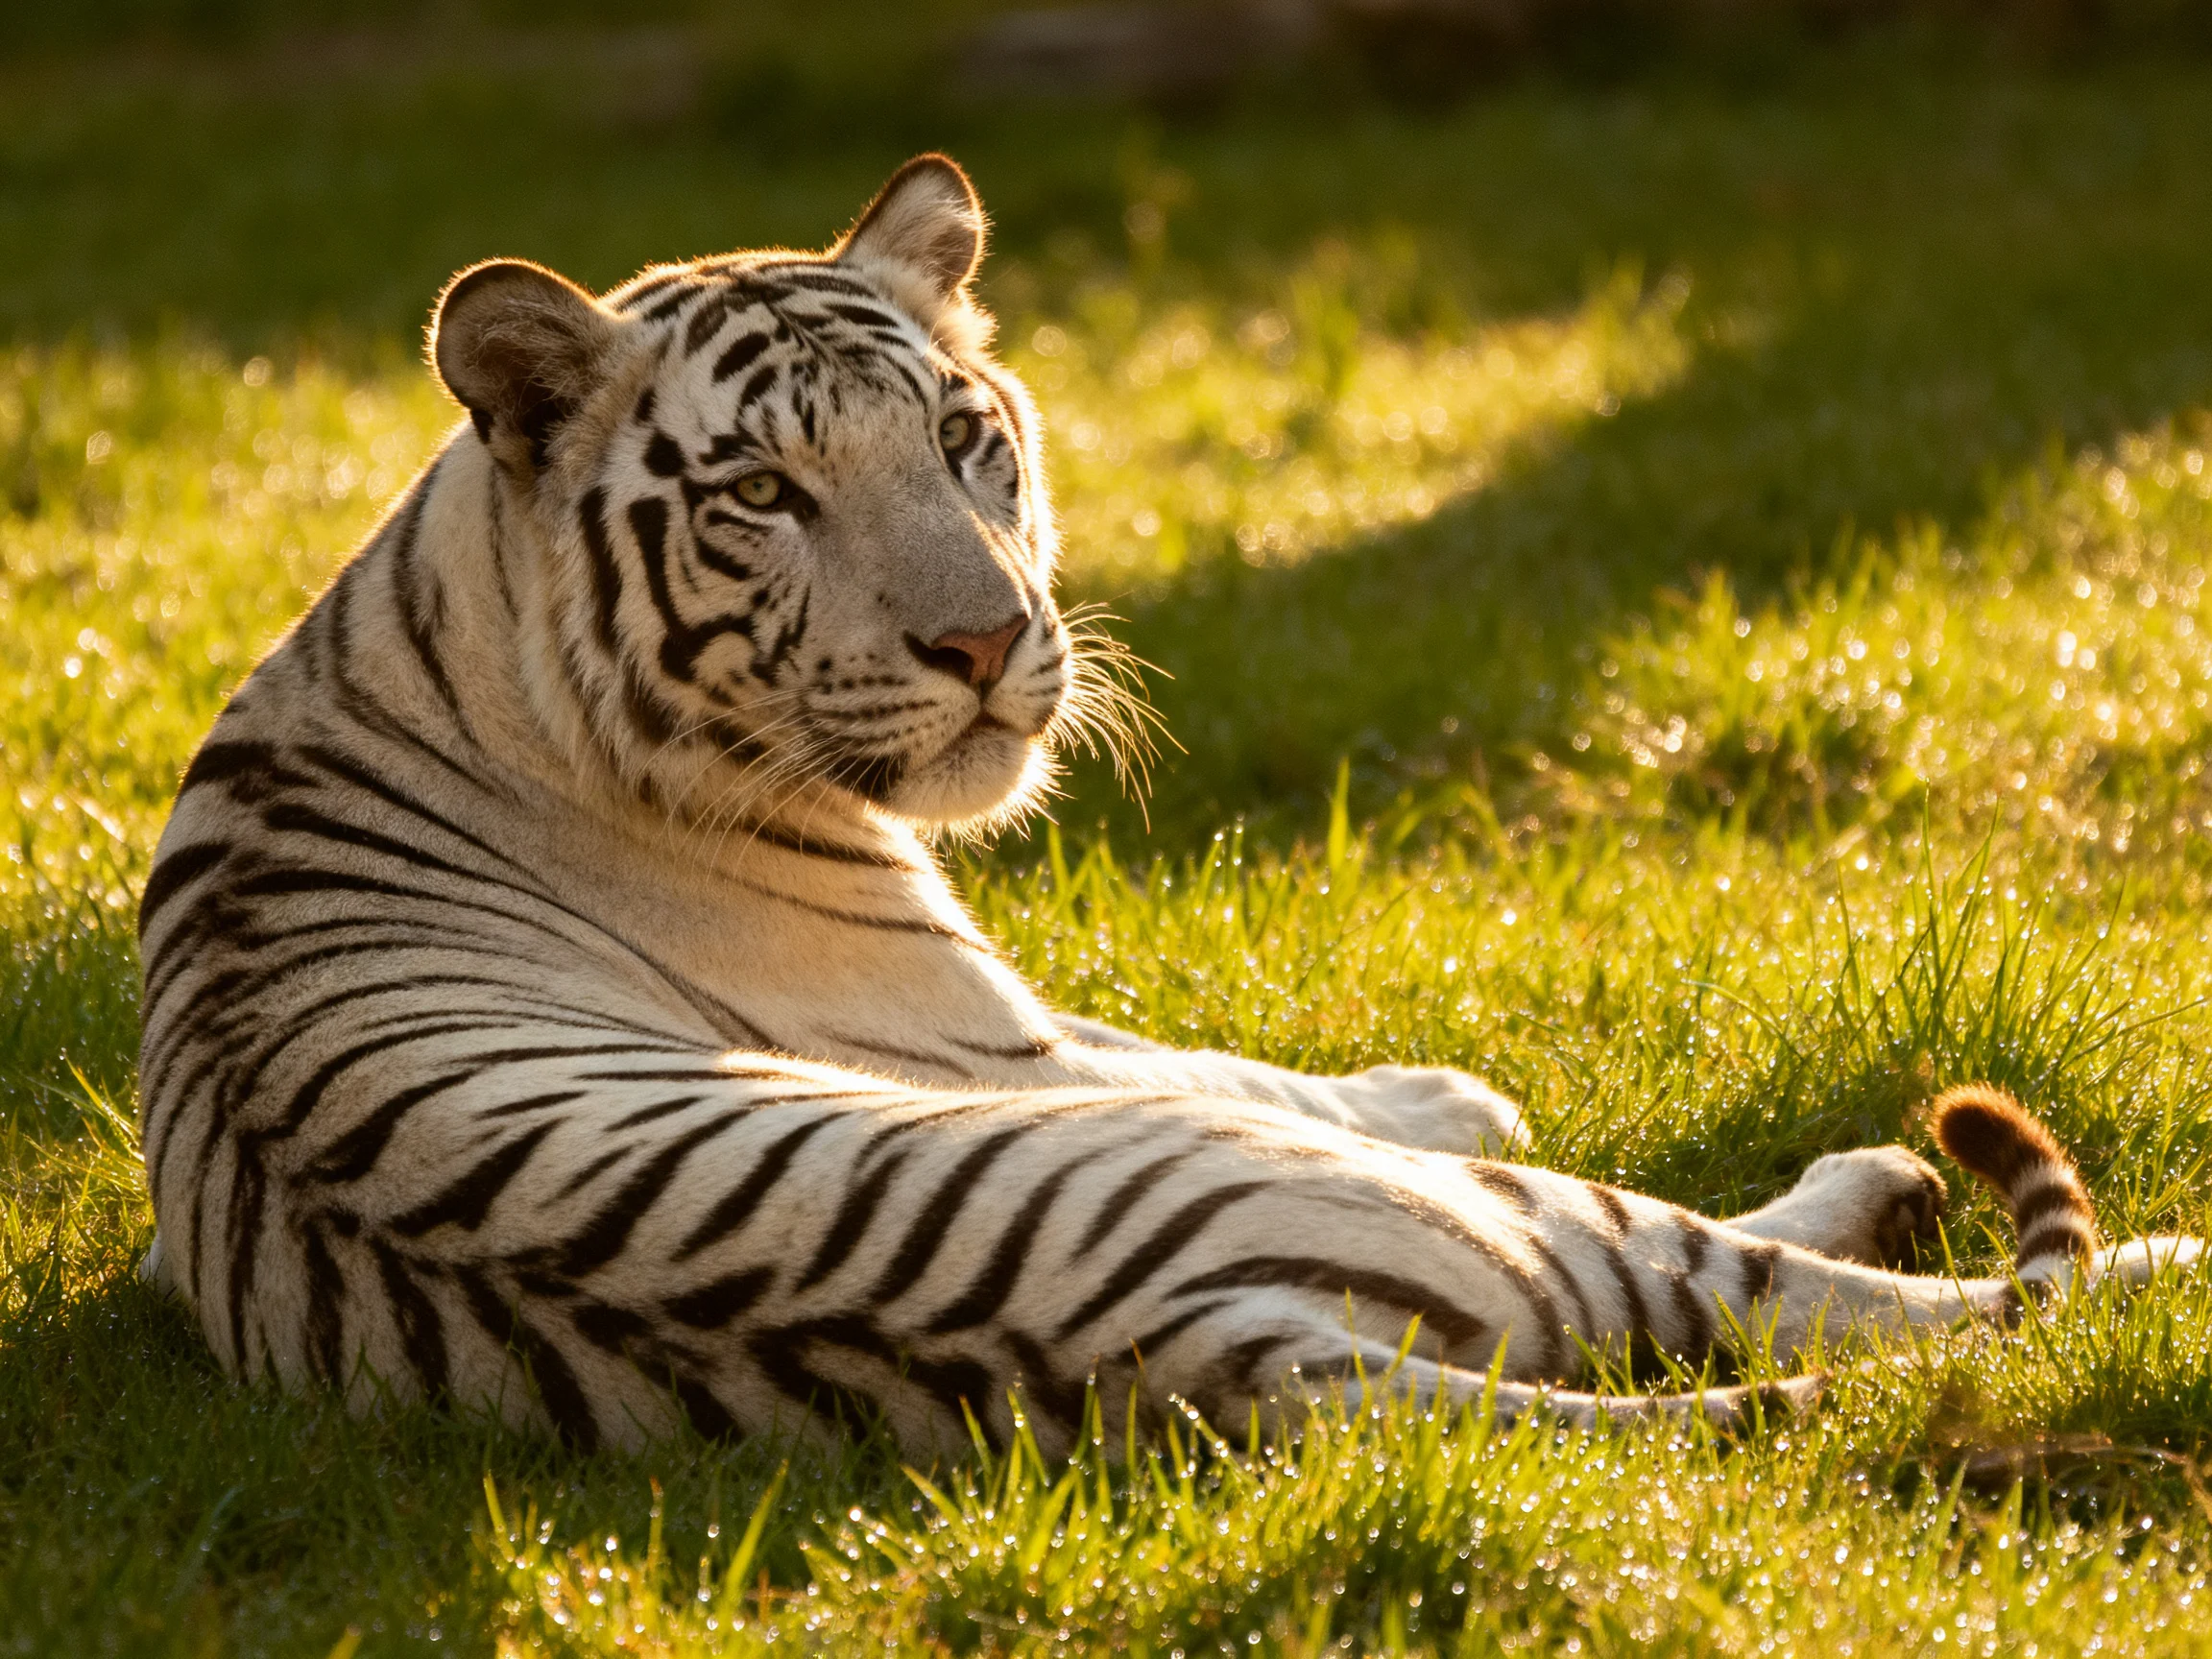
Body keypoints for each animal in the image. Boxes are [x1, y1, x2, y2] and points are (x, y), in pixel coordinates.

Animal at [137, 154, 2202, 1455]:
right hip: (1520, 1230)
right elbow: (1242, 1061)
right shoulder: (985, 1028)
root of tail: (1219, 1358)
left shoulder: (1009, 1026)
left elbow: (1222, 1042)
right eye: (765, 498)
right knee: (1816, 1296)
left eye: (961, 435)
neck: (450, 625)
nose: (984, 642)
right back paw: (2062, 1239)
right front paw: (1450, 1085)